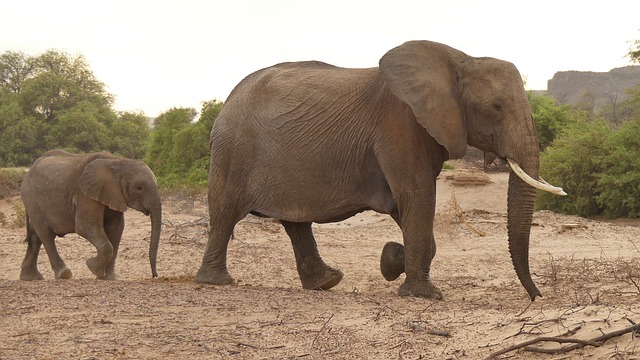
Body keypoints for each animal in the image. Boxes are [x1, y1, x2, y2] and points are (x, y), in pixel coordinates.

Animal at [19, 149, 161, 282]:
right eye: (139, 188)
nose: (155, 276)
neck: (118, 161)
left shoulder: (114, 194)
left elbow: (117, 229)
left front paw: (110, 278)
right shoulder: (85, 194)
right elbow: (86, 227)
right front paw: (92, 267)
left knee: (36, 237)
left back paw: (30, 277)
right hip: (31, 198)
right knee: (46, 234)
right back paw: (64, 274)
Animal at [195, 40, 564, 300]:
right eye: (496, 107)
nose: (536, 297)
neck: (461, 59)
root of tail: (228, 99)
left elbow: (410, 209)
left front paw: (390, 262)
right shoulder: (401, 126)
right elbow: (416, 197)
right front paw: (423, 294)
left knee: (295, 220)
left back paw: (326, 282)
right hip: (233, 151)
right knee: (226, 211)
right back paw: (216, 282)